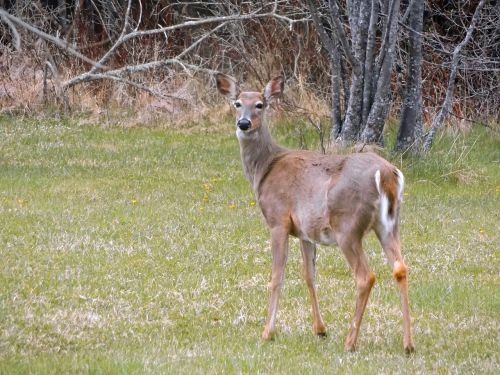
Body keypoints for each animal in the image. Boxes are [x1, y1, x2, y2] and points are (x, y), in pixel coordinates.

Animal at [215, 72, 414, 354]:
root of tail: (386, 174)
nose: (243, 123)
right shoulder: (304, 232)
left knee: (365, 276)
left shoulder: (278, 219)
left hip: (347, 226)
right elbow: (309, 276)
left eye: (260, 105)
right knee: (400, 268)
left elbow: (277, 276)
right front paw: (320, 329)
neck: (264, 168)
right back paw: (408, 344)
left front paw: (267, 332)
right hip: (389, 224)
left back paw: (350, 342)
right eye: (237, 103)